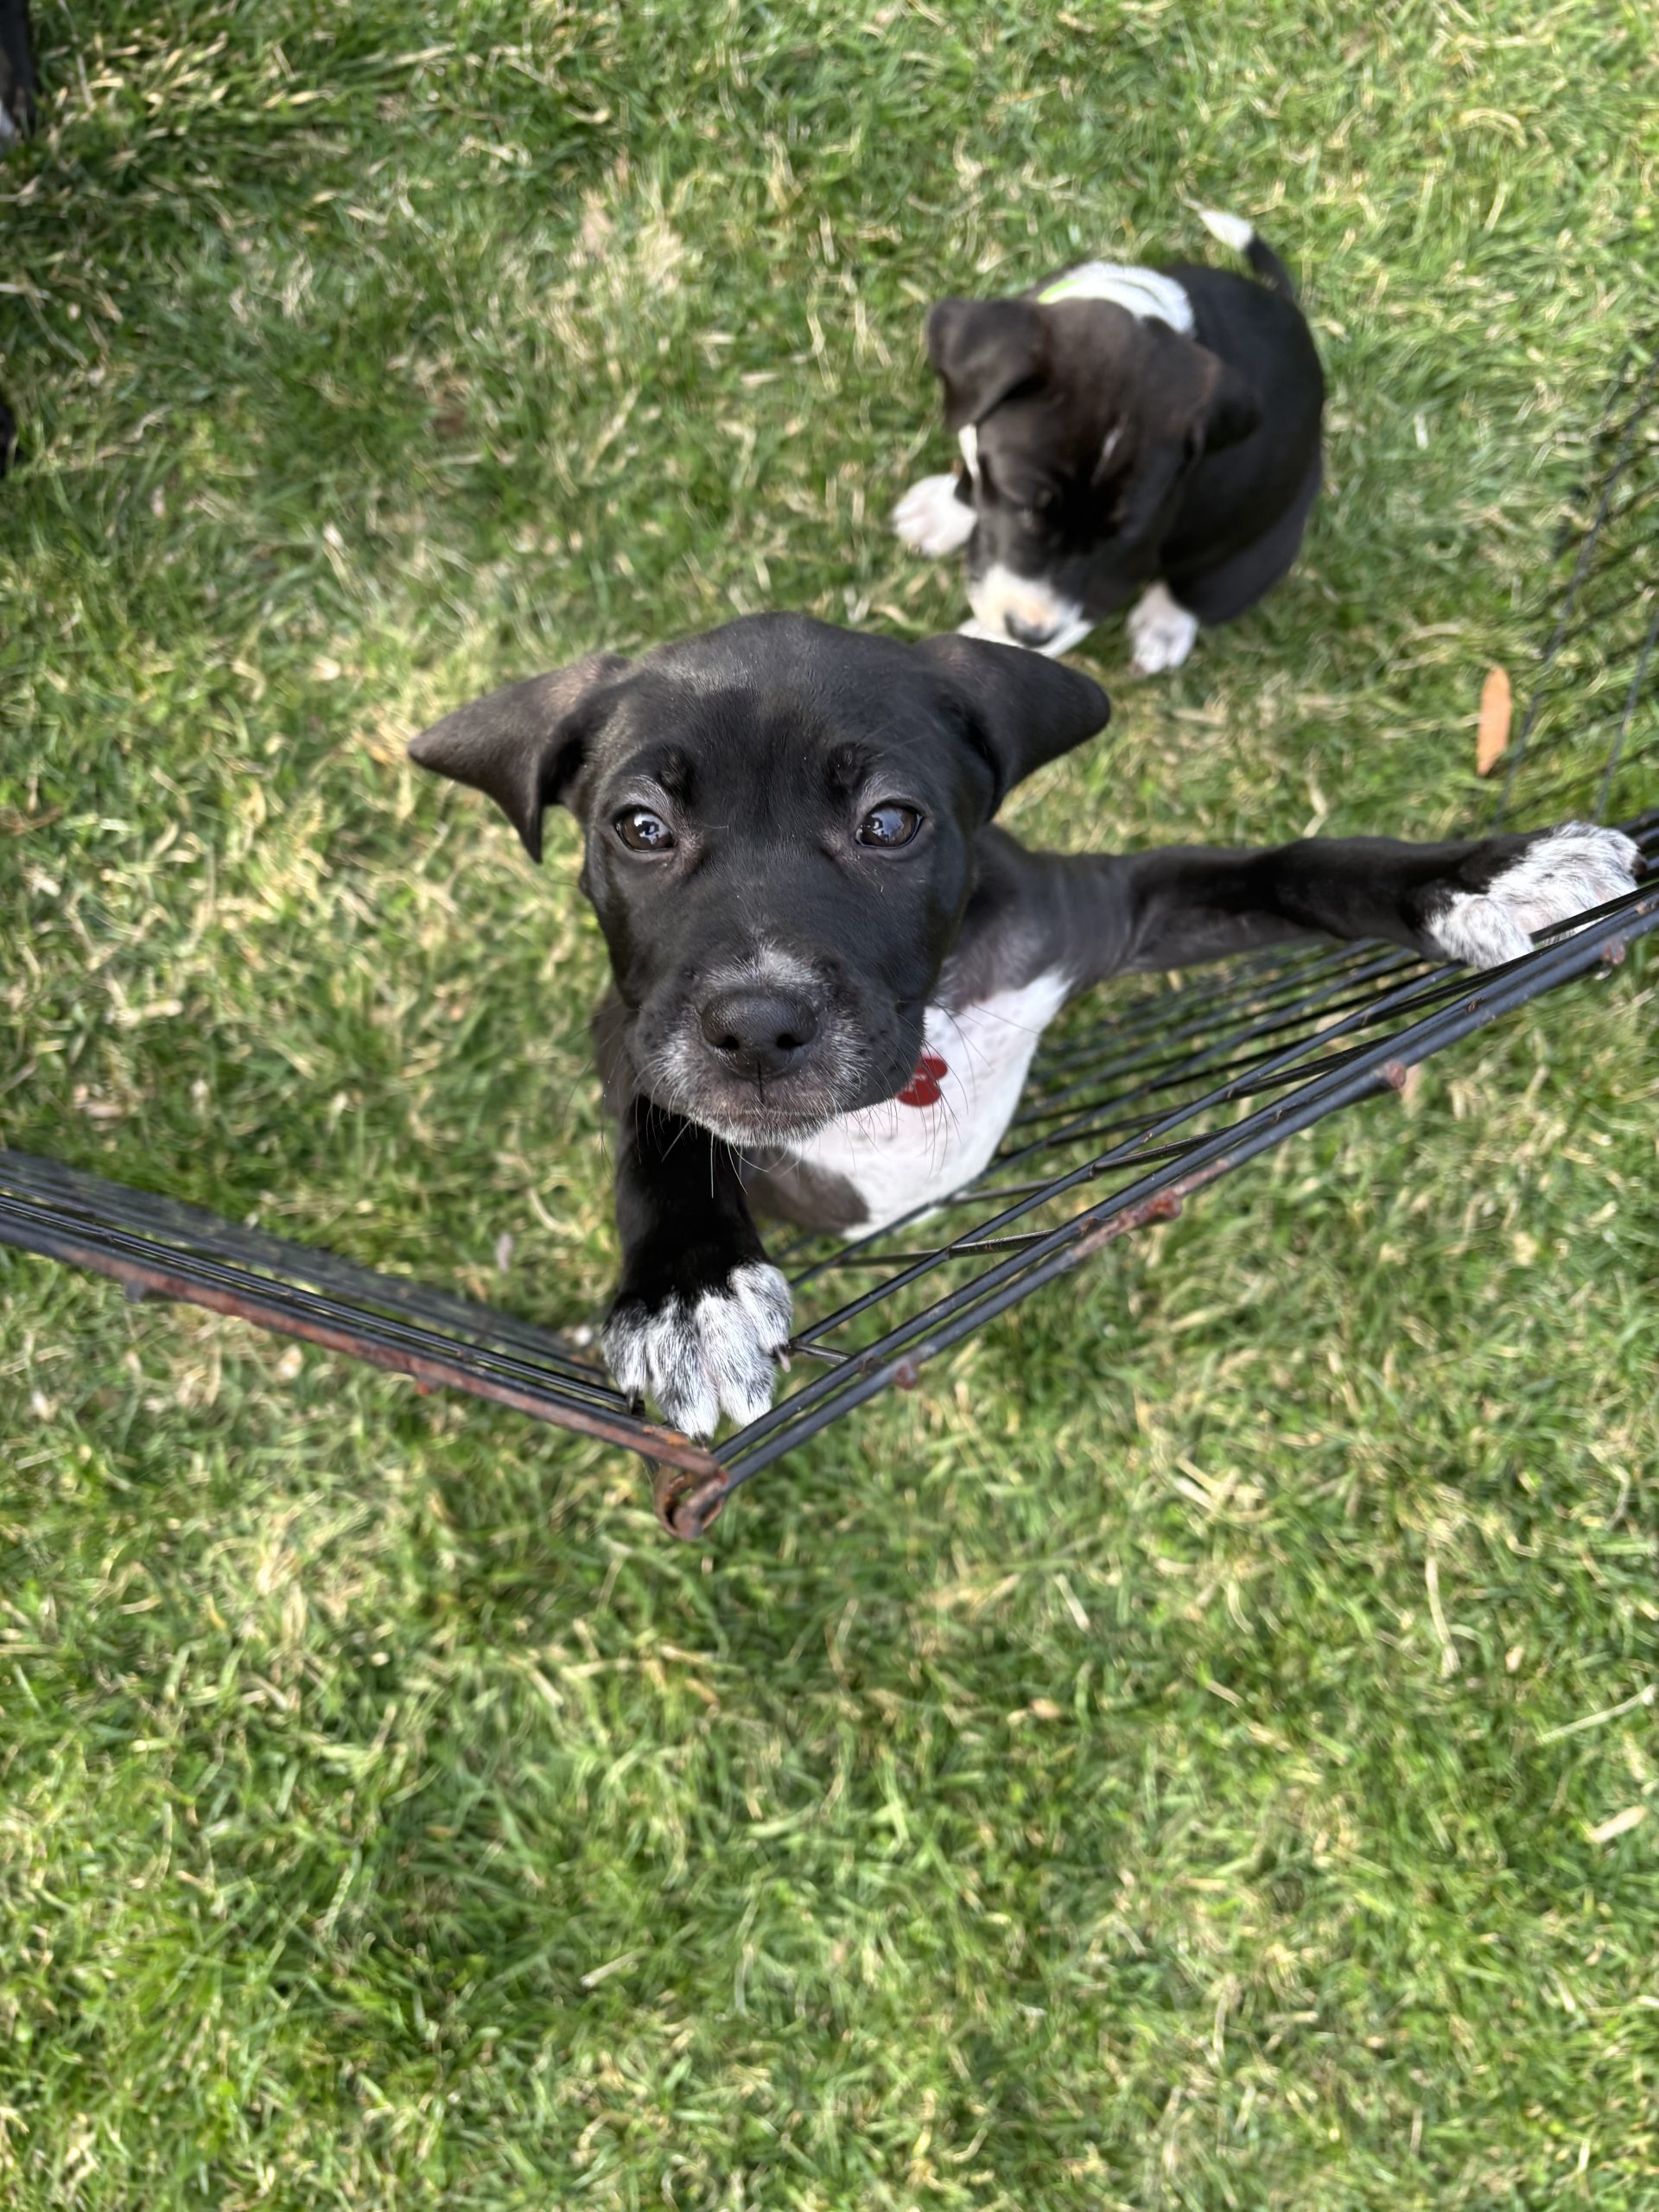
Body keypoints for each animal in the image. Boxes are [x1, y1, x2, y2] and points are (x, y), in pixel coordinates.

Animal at [409, 615, 1639, 1438]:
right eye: (641, 827)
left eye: (890, 823)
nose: (759, 1026)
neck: (924, 1039)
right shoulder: (628, 1029)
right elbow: (661, 1130)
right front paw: (686, 1288)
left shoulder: (1110, 913)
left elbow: (1296, 864)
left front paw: (1479, 874)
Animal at [893, 210, 1323, 673]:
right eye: (1022, 502)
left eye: (1119, 537)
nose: (1032, 633)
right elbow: (973, 477)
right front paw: (939, 512)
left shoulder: (1119, 569)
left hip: (1254, 556)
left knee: (1199, 593)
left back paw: (1163, 629)